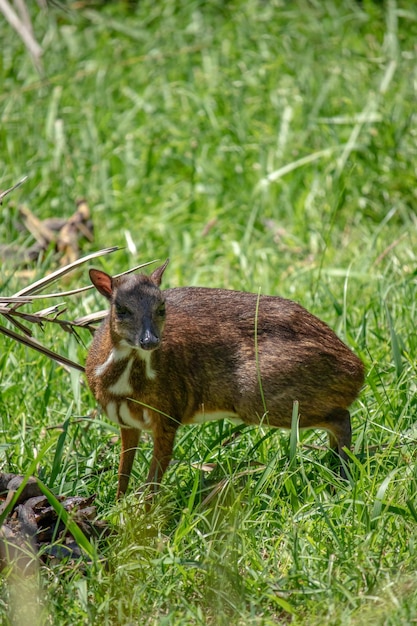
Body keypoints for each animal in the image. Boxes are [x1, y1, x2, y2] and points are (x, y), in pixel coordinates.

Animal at [85, 260, 364, 500]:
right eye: (121, 309)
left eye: (161, 307)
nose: (149, 340)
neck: (124, 387)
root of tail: (358, 369)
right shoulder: (126, 422)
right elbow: (123, 473)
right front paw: (115, 507)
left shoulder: (168, 415)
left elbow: (152, 483)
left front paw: (140, 518)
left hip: (261, 397)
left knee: (341, 417)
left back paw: (343, 479)